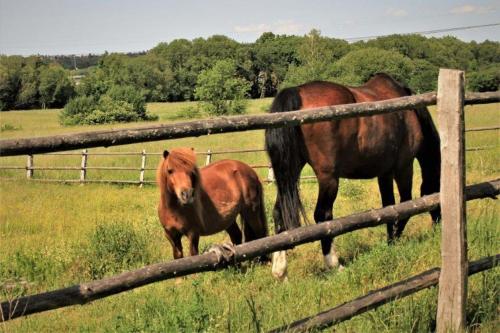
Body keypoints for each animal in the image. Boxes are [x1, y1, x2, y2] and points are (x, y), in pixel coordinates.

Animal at [264, 74, 440, 278]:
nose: (438, 225)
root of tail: (297, 92)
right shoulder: (404, 167)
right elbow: (405, 205)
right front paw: (395, 239)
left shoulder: (385, 173)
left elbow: (389, 206)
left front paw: (390, 241)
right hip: (328, 179)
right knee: (323, 216)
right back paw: (334, 264)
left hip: (290, 174)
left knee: (280, 212)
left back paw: (280, 270)